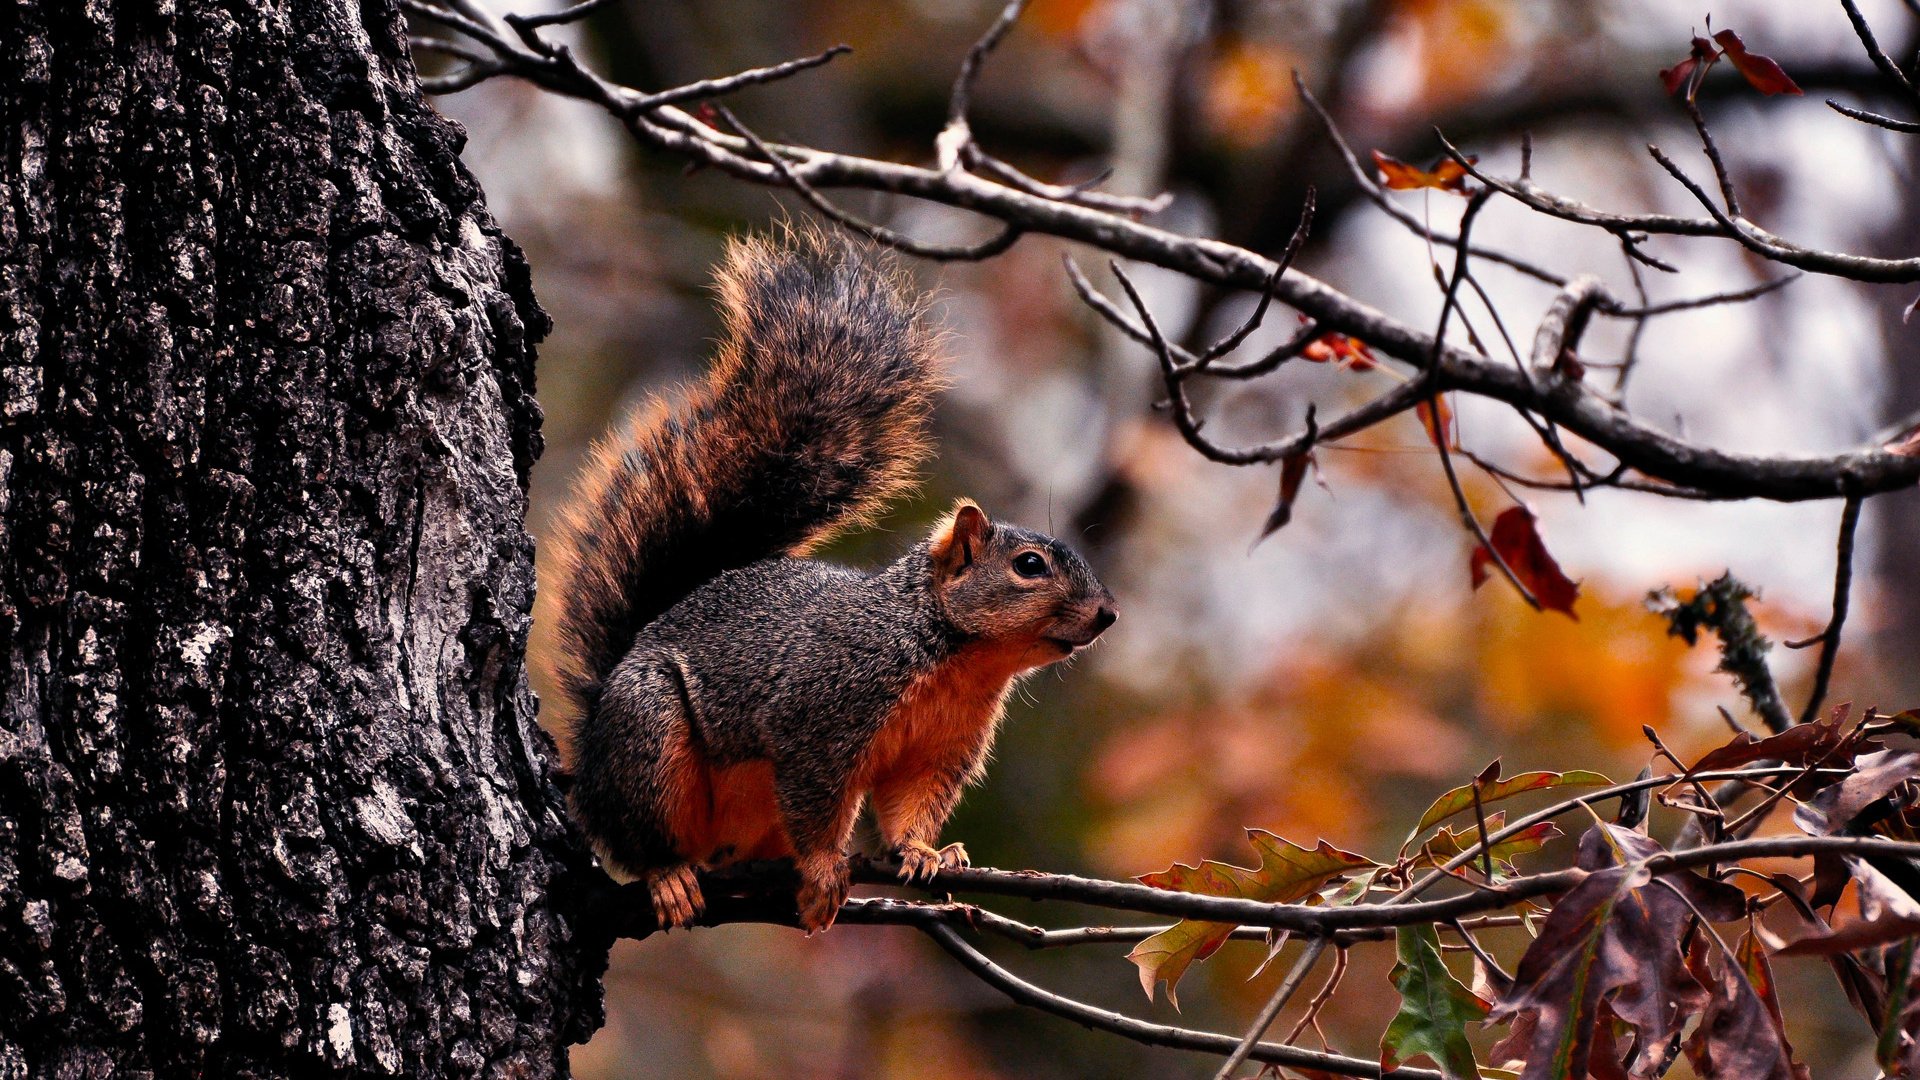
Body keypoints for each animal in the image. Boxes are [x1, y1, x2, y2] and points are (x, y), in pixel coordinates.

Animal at [545, 224, 1113, 926]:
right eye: (1029, 566)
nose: (1108, 613)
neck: (956, 657)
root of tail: (593, 741)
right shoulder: (821, 715)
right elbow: (817, 800)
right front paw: (821, 869)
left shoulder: (939, 750)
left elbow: (910, 805)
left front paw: (925, 851)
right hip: (647, 736)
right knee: (638, 834)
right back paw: (669, 874)